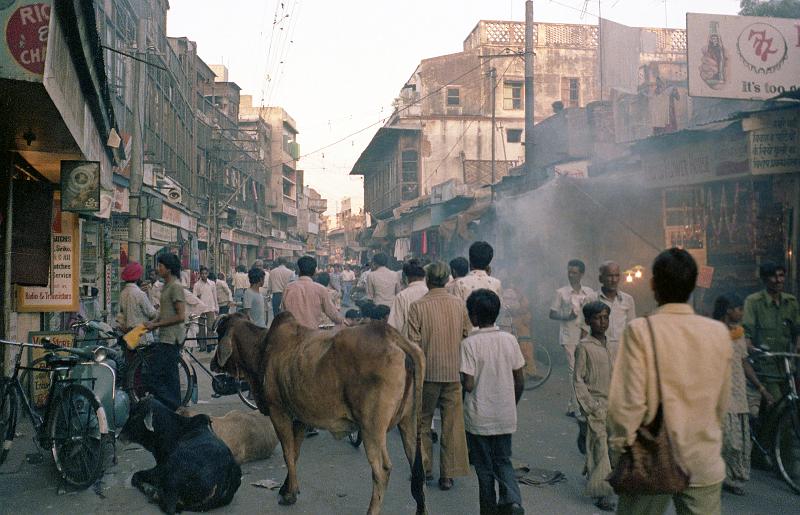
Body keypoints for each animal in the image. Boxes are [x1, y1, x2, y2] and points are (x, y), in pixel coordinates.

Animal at [209, 312, 428, 512]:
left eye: (219, 332)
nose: (213, 363)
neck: (262, 348)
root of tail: (392, 335)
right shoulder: (299, 418)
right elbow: (295, 453)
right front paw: (287, 489)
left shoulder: (278, 411)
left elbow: (287, 453)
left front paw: (289, 495)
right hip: (408, 422)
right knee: (418, 465)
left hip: (371, 428)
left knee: (382, 470)